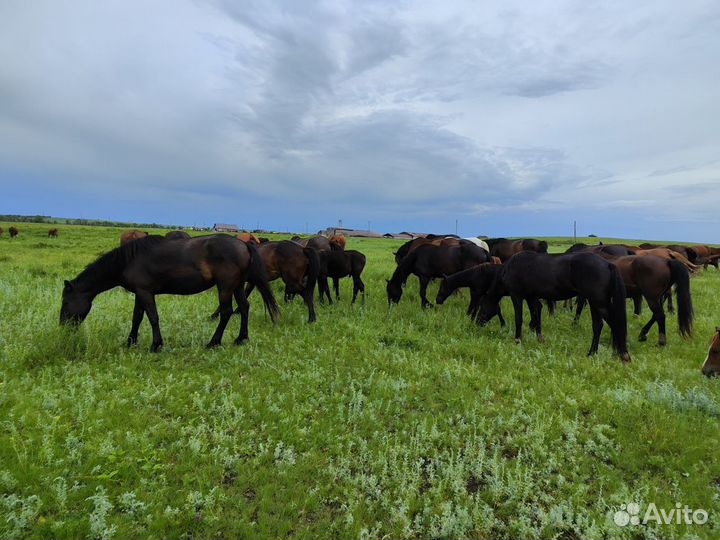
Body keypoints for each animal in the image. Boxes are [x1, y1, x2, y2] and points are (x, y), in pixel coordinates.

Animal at [61, 234, 278, 352]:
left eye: (65, 303)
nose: (63, 328)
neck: (129, 260)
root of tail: (244, 245)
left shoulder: (145, 293)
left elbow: (152, 317)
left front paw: (155, 345)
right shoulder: (140, 293)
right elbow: (137, 317)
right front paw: (130, 342)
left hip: (225, 287)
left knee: (226, 313)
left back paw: (213, 342)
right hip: (238, 286)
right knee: (244, 307)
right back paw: (241, 339)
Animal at [478, 251, 632, 360]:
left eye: (482, 307)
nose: (477, 323)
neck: (510, 268)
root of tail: (607, 264)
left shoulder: (517, 296)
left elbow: (519, 319)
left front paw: (518, 340)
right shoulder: (531, 297)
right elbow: (536, 315)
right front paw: (539, 338)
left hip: (599, 303)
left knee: (614, 324)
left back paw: (621, 355)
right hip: (595, 304)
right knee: (598, 326)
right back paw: (594, 353)